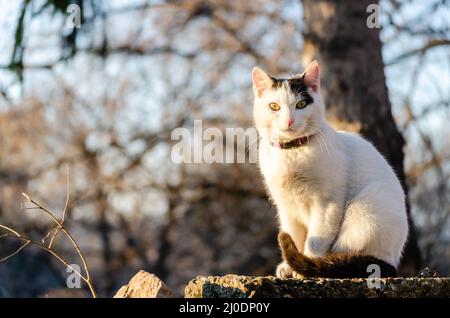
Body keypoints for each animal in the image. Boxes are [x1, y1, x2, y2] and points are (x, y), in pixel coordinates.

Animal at [251, 60, 410, 278]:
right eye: (274, 106)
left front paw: (304, 267)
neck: (293, 153)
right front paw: (289, 267)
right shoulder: (285, 206)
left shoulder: (327, 204)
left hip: (364, 211)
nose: (289, 121)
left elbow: (316, 239)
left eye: (301, 104)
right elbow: (294, 235)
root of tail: (393, 262)